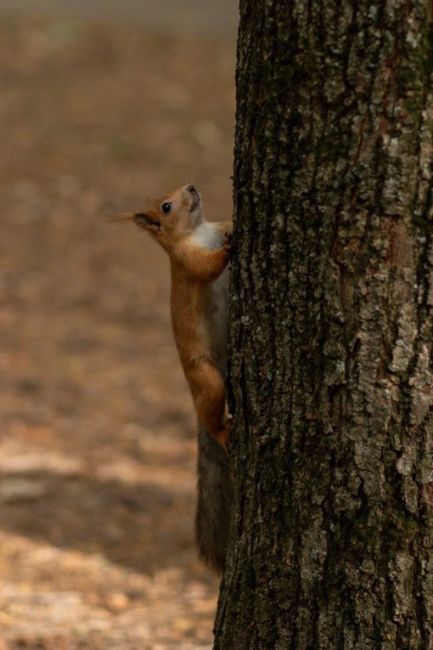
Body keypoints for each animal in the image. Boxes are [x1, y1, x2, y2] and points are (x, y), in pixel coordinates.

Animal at [113, 185, 231, 568]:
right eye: (166, 207)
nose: (192, 187)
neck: (200, 230)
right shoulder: (185, 262)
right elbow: (205, 267)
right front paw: (231, 247)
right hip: (207, 379)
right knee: (212, 416)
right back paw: (224, 433)